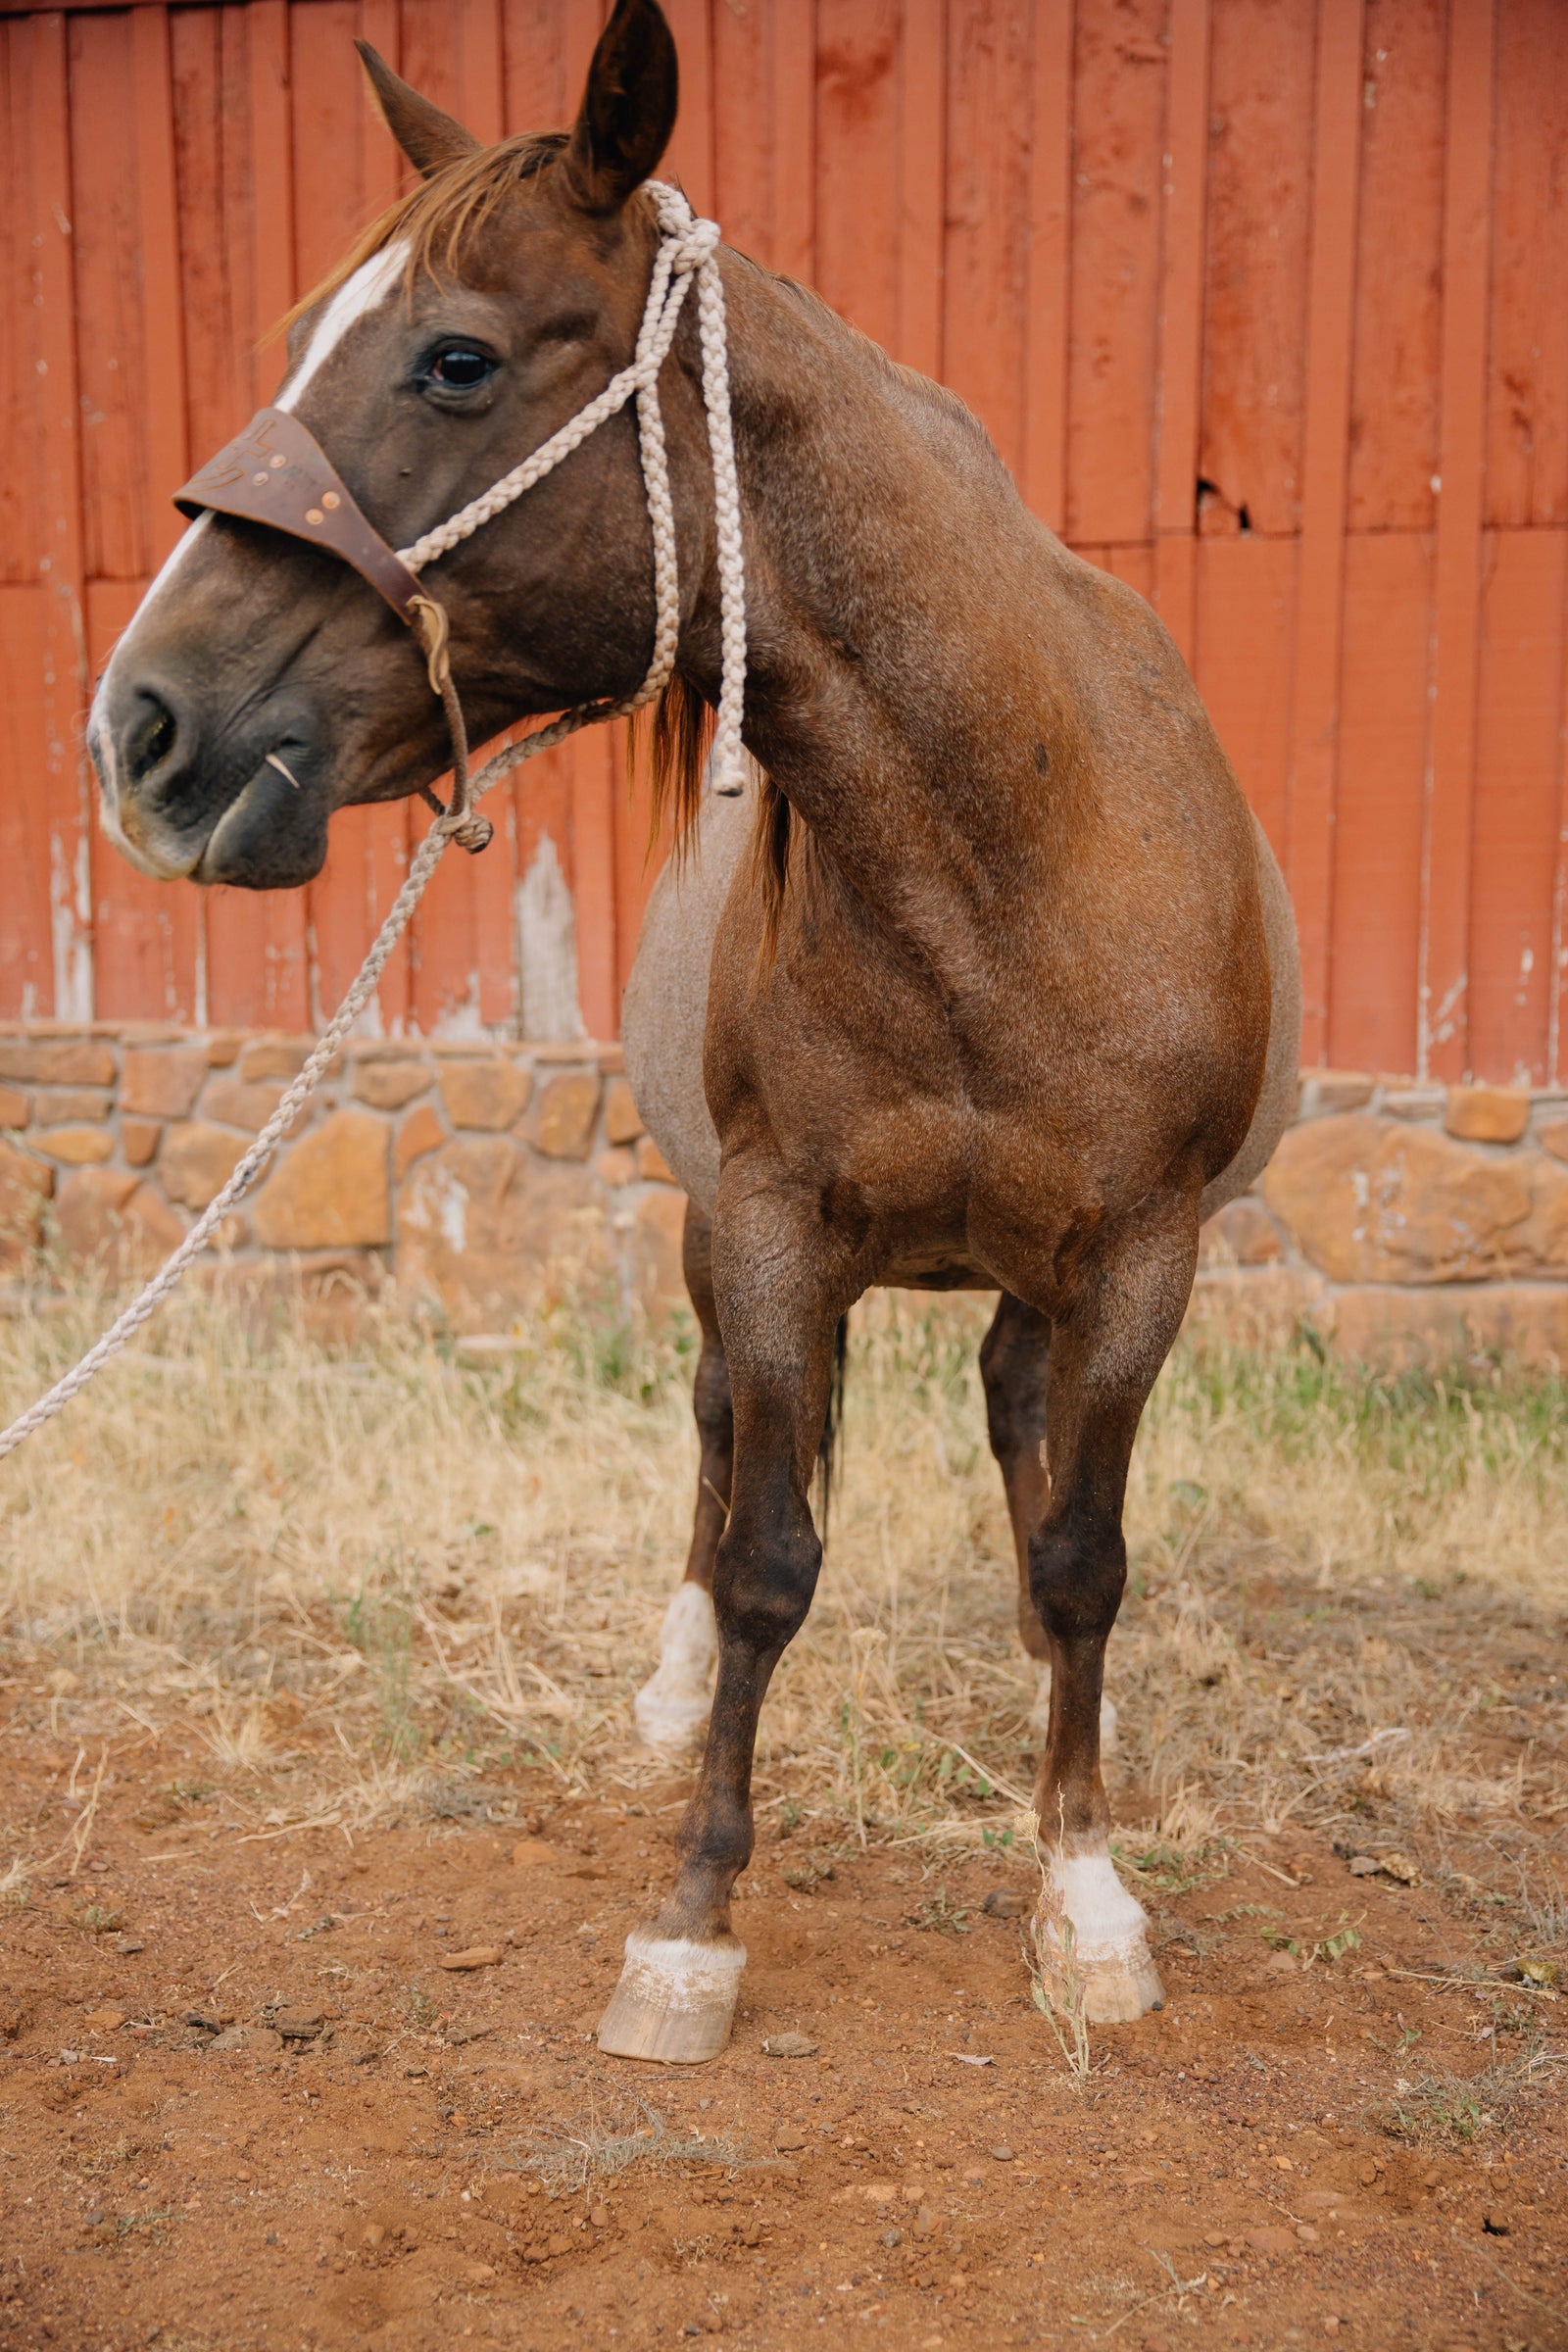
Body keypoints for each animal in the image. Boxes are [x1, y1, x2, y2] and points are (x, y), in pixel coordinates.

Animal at [88, 0, 1300, 2064]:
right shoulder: (772, 1227)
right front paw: (691, 1923)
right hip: (712, 1236)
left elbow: (1082, 1559)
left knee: (1011, 1423)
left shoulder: (1144, 1253)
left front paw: (1084, 1894)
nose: (139, 728)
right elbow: (764, 1559)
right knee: (726, 1427)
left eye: (458, 359)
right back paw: (667, 1689)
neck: (1013, 858)